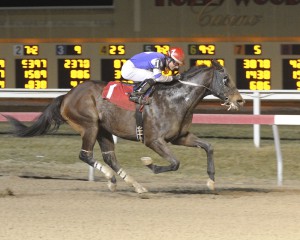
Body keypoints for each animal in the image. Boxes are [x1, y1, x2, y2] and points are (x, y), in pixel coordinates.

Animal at [4, 60, 244, 193]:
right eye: (225, 79)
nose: (240, 100)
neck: (176, 99)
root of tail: (67, 96)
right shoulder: (153, 140)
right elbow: (175, 163)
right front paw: (150, 164)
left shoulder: (180, 137)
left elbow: (209, 147)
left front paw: (211, 183)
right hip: (89, 125)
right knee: (85, 154)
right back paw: (112, 178)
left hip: (103, 130)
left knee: (109, 157)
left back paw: (133, 185)